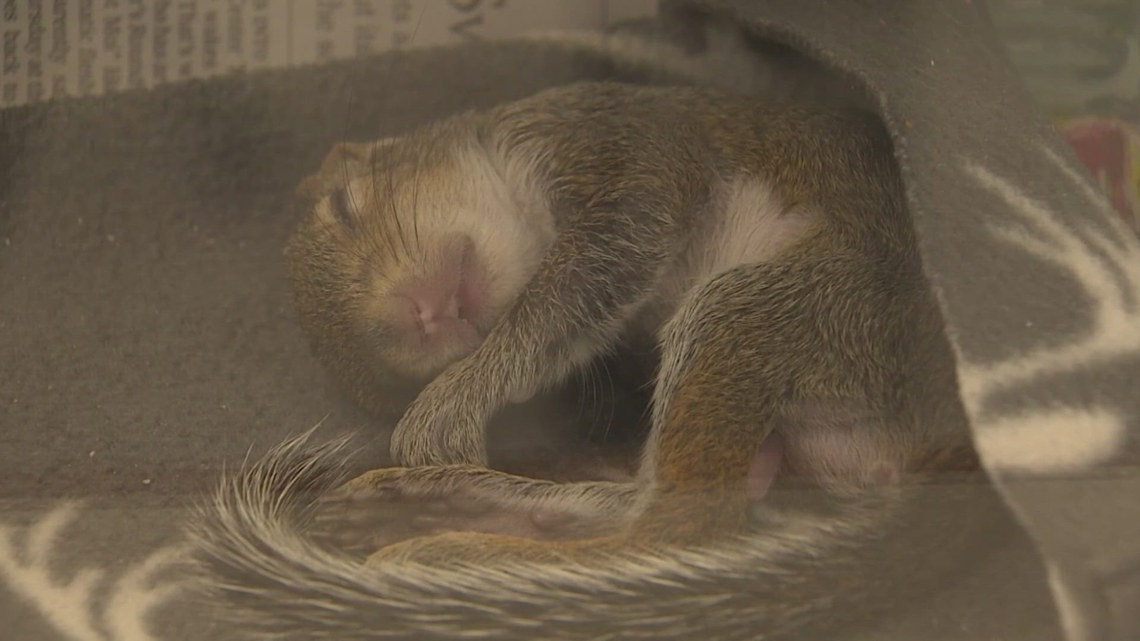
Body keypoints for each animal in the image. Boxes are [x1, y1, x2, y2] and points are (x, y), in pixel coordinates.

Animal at [189, 82, 996, 640]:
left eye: (346, 206)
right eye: (390, 377)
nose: (420, 315)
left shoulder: (611, 141)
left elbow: (605, 252)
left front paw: (454, 397)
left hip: (799, 310)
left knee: (679, 531)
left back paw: (457, 540)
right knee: (662, 518)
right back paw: (444, 511)